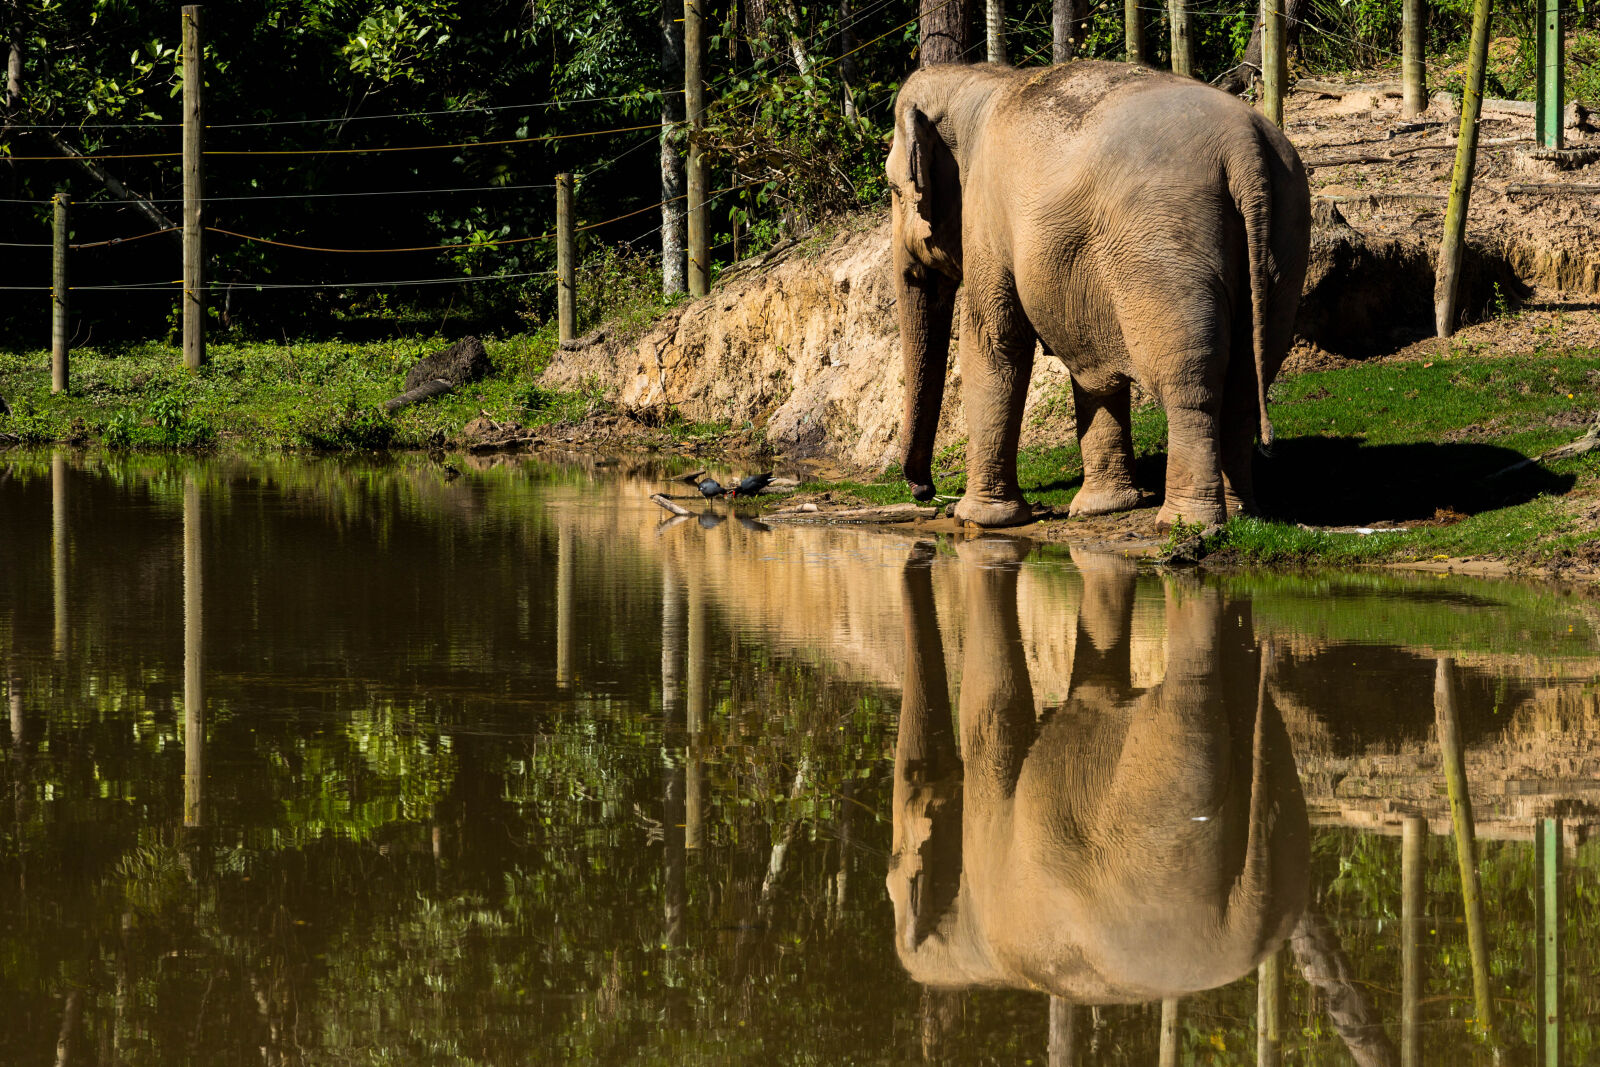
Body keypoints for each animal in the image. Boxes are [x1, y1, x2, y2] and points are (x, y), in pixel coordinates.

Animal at [889, 60, 1312, 527]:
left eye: (895, 191)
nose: (924, 490)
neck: (978, 79)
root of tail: (1243, 147)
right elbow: (1088, 362)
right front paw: (1102, 508)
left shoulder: (986, 215)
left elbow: (993, 342)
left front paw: (978, 519)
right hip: (1285, 240)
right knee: (1247, 377)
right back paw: (1240, 515)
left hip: (1165, 252)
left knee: (1190, 383)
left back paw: (1184, 522)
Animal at [889, 537, 1312, 1004]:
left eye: (897, 864)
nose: (922, 546)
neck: (965, 969)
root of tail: (1251, 916)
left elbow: (991, 704)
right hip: (1276, 796)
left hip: (1167, 793)